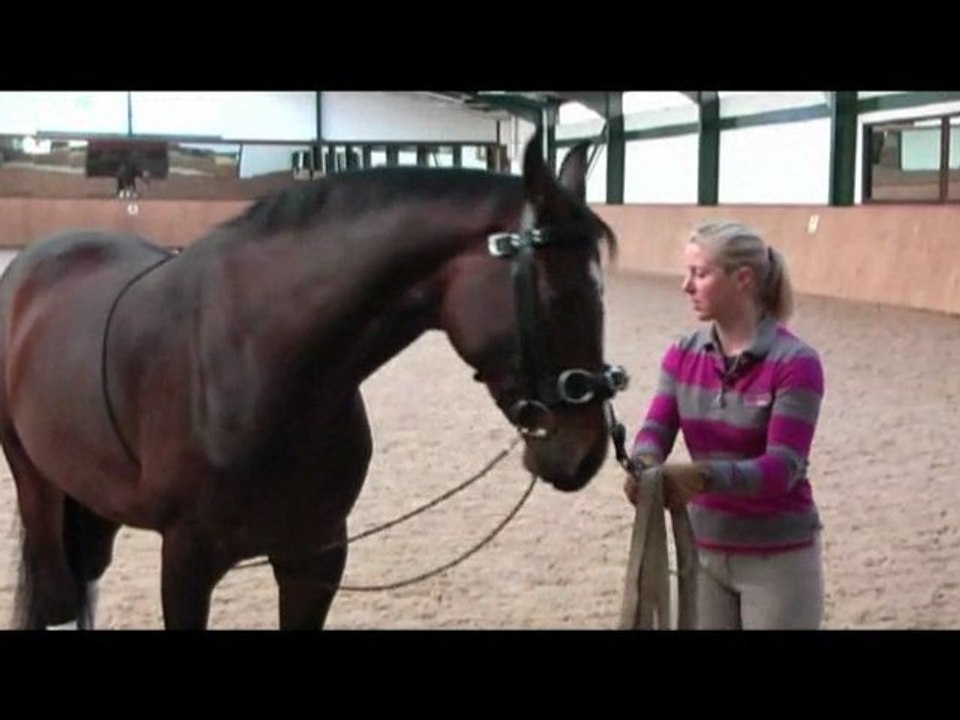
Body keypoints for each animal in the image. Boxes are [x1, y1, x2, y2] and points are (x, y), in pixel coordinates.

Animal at [0, 129, 627, 630]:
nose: (585, 453)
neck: (261, 369)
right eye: (556, 294)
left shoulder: (315, 556)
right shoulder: (185, 562)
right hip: (37, 486)